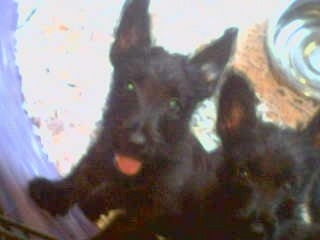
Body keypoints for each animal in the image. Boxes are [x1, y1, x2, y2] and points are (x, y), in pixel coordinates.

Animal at [28, 0, 238, 239]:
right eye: (129, 86)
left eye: (174, 105)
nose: (135, 142)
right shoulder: (100, 155)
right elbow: (80, 177)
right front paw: (55, 195)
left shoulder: (145, 213)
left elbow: (118, 229)